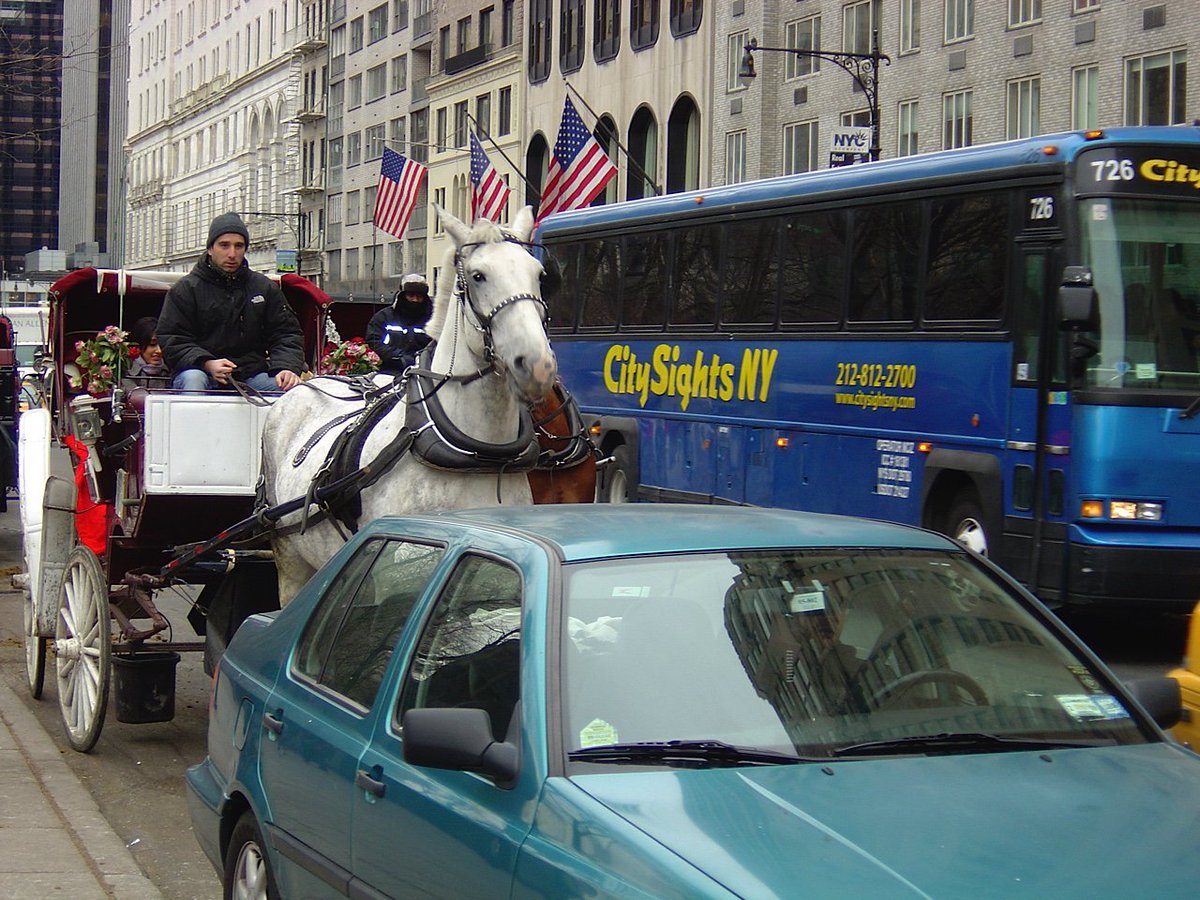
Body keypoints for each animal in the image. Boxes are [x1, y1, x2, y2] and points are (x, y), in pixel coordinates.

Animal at [260, 205, 556, 604]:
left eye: (539, 273)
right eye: (478, 276)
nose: (538, 365)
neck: (479, 456)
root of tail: (310, 381)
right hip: (289, 555)